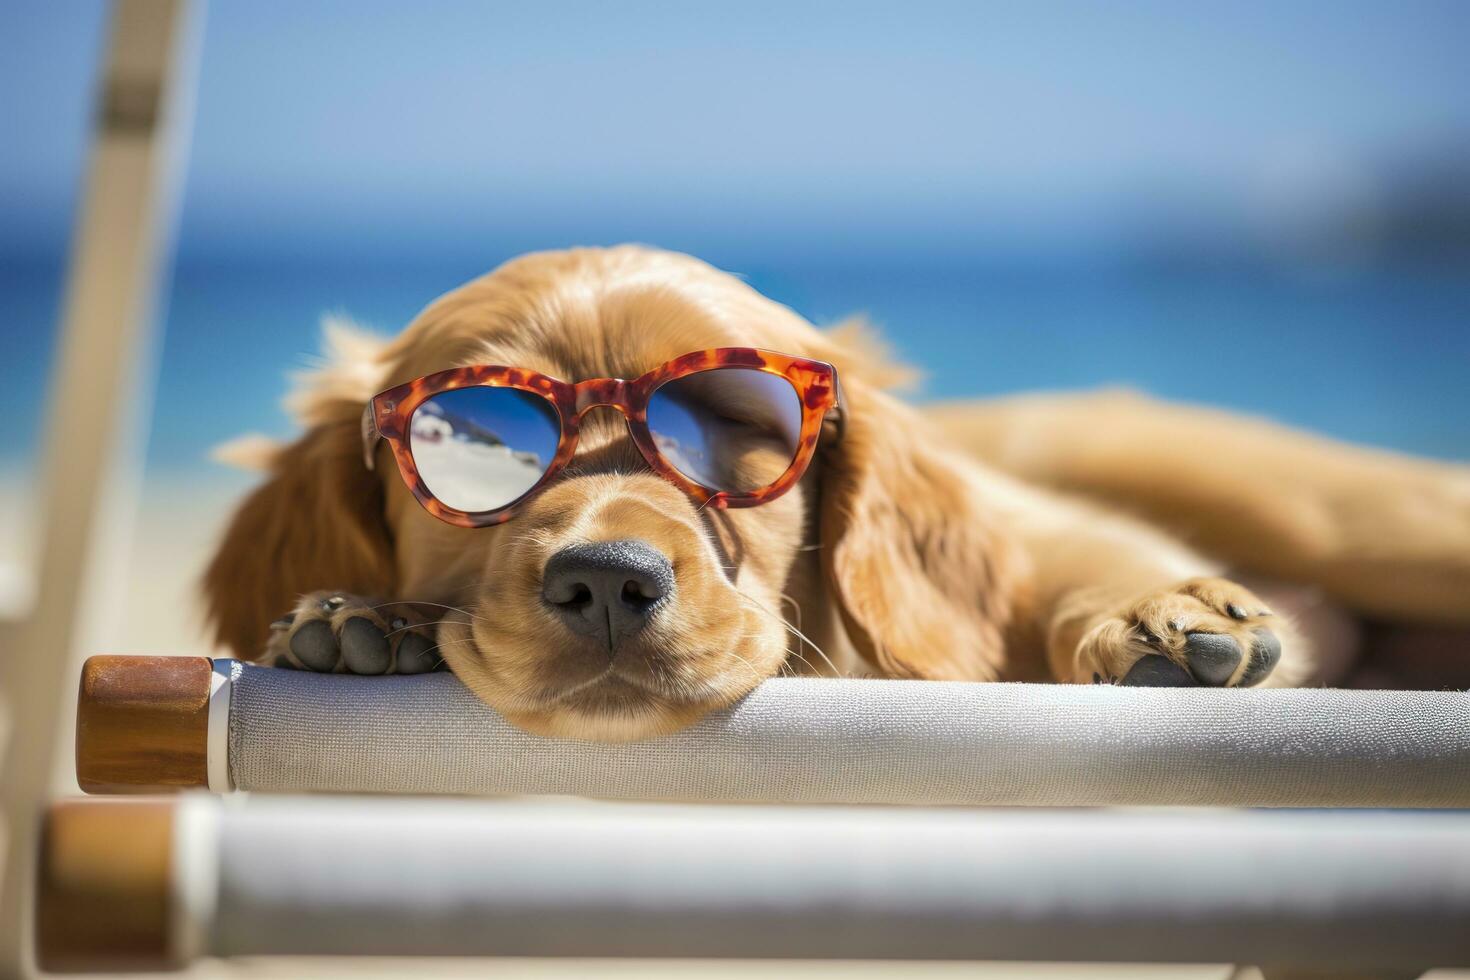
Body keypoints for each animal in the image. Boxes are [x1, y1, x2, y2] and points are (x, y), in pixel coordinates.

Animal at [198, 243, 1470, 734]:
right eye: (477, 443)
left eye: (737, 430)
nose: (607, 582)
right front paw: (367, 617)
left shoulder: (1045, 523)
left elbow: (1080, 557)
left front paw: (1164, 611)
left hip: (1348, 520)